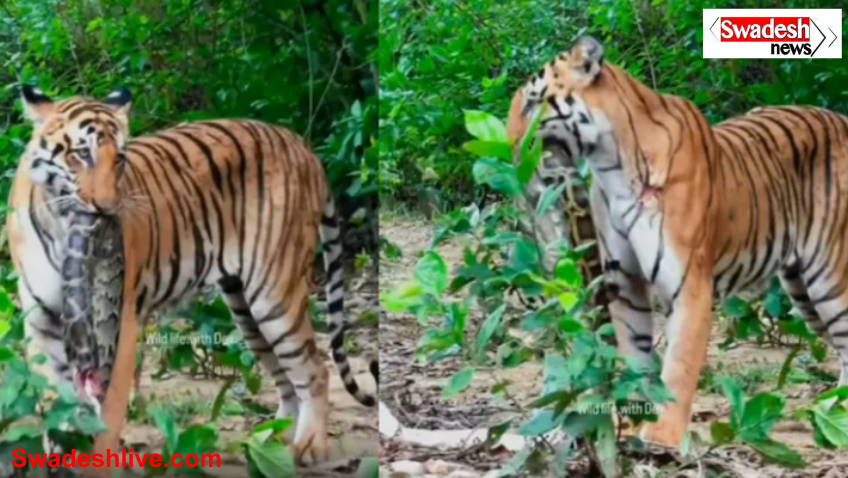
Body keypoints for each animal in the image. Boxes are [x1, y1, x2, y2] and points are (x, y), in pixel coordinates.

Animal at [7, 85, 377, 468]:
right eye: (82, 154)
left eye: (119, 158)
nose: (107, 209)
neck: (61, 225)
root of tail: (302, 146)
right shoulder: (42, 320)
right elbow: (56, 403)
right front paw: (59, 454)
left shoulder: (121, 324)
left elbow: (107, 414)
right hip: (244, 308)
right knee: (285, 377)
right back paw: (269, 439)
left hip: (274, 295)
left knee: (314, 369)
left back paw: (309, 445)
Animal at [507, 35, 848, 446]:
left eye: (532, 101)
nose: (509, 145)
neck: (611, 165)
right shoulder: (623, 280)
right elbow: (635, 352)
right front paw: (635, 419)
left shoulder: (689, 283)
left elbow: (680, 363)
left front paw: (662, 435)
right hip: (800, 287)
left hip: (828, 277)